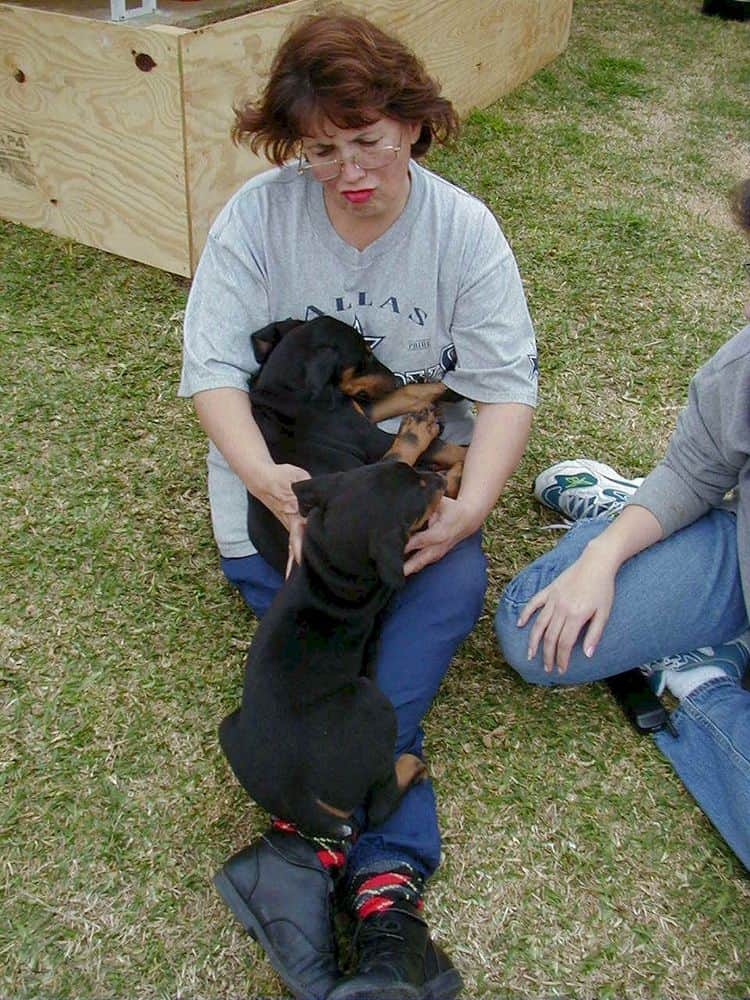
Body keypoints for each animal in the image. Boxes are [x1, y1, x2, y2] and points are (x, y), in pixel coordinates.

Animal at [217, 464, 446, 840]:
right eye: (422, 486)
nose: (439, 476)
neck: (334, 565)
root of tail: (298, 797)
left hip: (229, 729)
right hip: (372, 701)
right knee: (379, 805)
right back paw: (411, 766)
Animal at [250, 316, 468, 576]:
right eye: (365, 357)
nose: (395, 379)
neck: (289, 390)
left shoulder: (362, 409)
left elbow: (407, 394)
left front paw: (449, 389)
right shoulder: (370, 439)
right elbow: (445, 448)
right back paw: (424, 434)